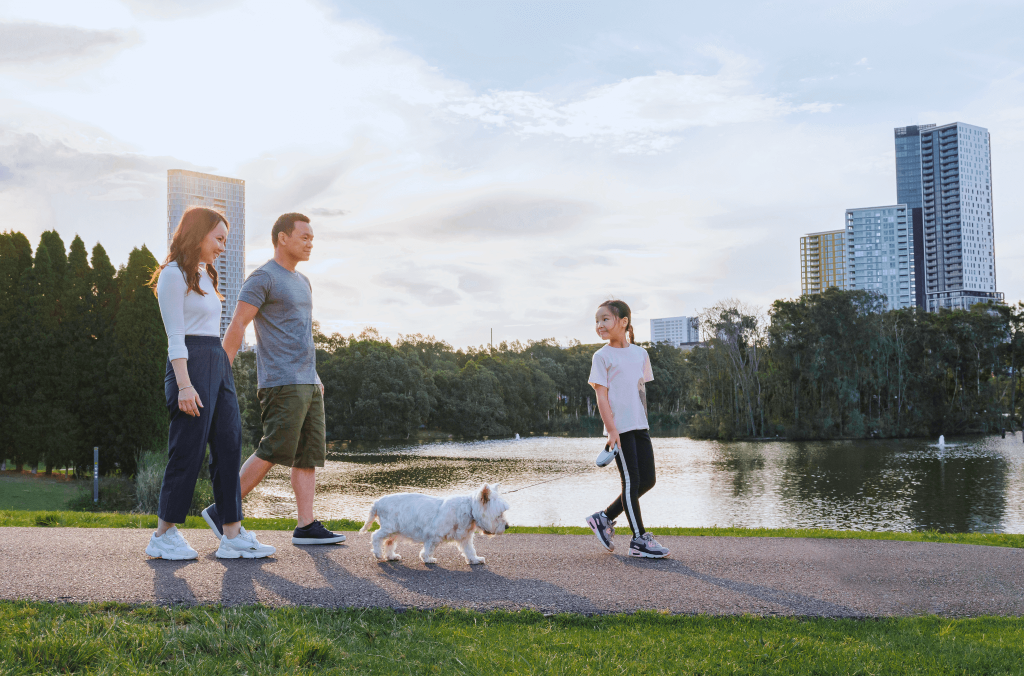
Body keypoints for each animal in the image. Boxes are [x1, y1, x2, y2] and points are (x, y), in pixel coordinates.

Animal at [360, 481, 512, 565]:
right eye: (499, 514)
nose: (507, 526)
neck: (468, 509)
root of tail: (377, 503)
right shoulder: (433, 535)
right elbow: (429, 548)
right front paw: (427, 558)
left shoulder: (465, 537)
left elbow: (470, 550)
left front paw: (474, 560)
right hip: (389, 527)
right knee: (376, 536)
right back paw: (378, 553)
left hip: (396, 531)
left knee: (389, 542)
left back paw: (391, 556)